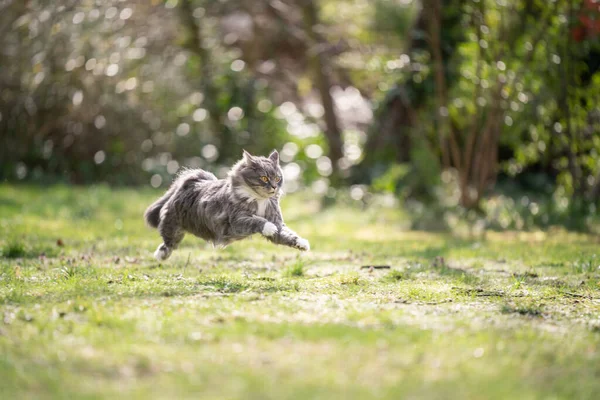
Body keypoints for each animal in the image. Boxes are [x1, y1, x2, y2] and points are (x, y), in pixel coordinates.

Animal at [144, 149, 310, 260]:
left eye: (277, 178)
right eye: (264, 178)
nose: (275, 187)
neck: (260, 200)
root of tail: (194, 181)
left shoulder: (278, 222)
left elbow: (288, 235)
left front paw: (302, 243)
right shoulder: (236, 221)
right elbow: (258, 220)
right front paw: (268, 227)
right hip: (173, 226)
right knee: (168, 242)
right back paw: (160, 255)